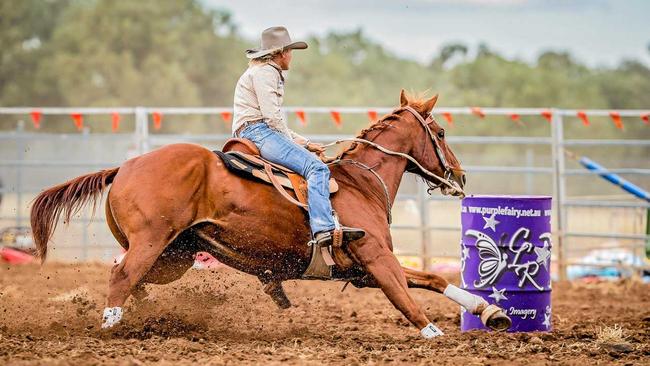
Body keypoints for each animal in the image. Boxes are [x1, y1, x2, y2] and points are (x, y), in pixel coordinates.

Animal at [30, 91, 508, 338]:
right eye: (440, 132)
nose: (459, 175)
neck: (360, 182)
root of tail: (124, 166)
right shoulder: (377, 260)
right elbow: (408, 300)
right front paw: (435, 335)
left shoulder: (362, 271)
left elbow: (434, 280)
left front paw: (489, 312)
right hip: (152, 242)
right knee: (122, 275)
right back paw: (111, 327)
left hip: (174, 256)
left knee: (131, 276)